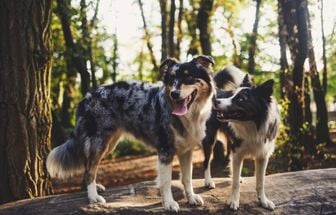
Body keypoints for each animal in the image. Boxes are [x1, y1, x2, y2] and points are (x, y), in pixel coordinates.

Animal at [46, 55, 215, 212]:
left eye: (188, 76)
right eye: (172, 79)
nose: (174, 93)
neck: (188, 115)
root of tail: (87, 96)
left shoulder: (187, 151)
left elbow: (187, 178)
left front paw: (191, 198)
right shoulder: (165, 150)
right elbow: (166, 181)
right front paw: (169, 203)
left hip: (109, 143)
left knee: (88, 165)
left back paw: (95, 188)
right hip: (98, 141)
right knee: (90, 169)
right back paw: (93, 196)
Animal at [203, 66, 280, 211]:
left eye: (241, 99)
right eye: (232, 95)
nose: (216, 102)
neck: (252, 126)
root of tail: (217, 91)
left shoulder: (263, 155)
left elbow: (260, 182)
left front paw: (263, 201)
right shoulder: (237, 152)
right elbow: (235, 184)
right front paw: (234, 201)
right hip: (209, 139)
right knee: (206, 162)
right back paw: (208, 181)